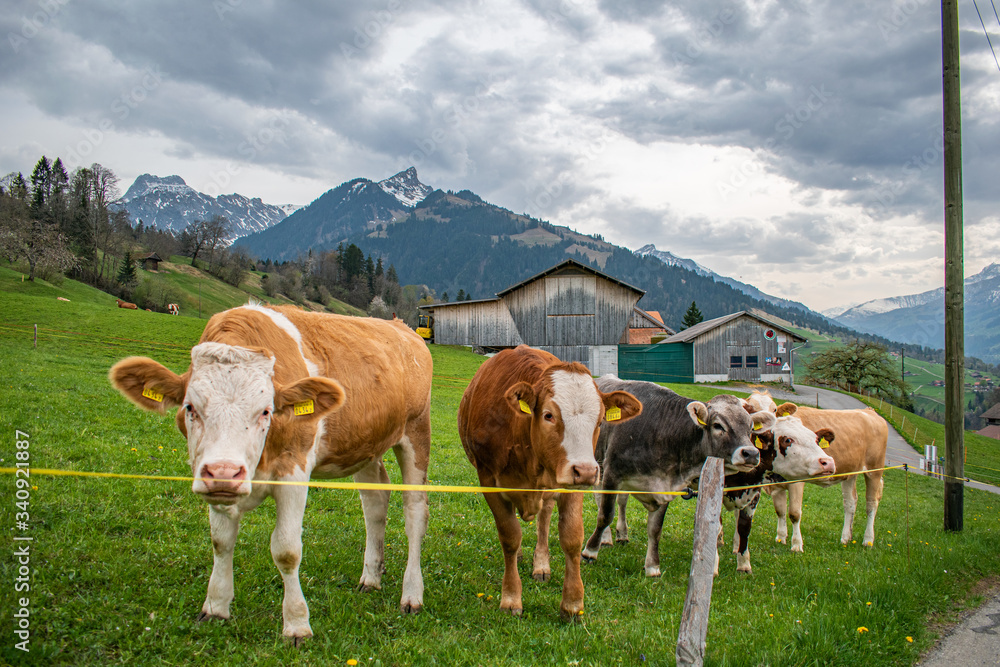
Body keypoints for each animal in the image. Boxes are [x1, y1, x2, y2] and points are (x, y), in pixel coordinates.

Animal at [108, 303, 432, 644]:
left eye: (266, 410)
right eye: (189, 408)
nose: (224, 472)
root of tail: (402, 328)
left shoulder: (294, 470)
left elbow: (286, 550)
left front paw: (297, 624)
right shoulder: (213, 481)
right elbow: (221, 541)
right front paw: (216, 606)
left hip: (416, 433)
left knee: (414, 512)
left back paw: (412, 594)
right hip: (366, 445)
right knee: (375, 504)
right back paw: (371, 577)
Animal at [457, 346, 642, 619]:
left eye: (600, 421)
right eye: (548, 415)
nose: (586, 471)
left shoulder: (571, 484)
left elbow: (572, 538)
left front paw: (573, 603)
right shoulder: (489, 480)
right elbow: (509, 536)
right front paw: (510, 597)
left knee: (544, 519)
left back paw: (541, 565)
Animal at [581, 377, 775, 577]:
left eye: (751, 428)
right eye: (718, 425)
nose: (751, 454)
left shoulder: (665, 485)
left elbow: (655, 529)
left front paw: (652, 566)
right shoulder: (612, 473)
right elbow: (605, 515)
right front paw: (590, 552)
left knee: (622, 502)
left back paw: (622, 534)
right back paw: (606, 539)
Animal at [766, 402, 888, 551]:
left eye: (774, 411)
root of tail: (869, 411)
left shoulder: (797, 481)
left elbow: (794, 513)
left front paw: (796, 545)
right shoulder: (774, 484)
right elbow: (780, 510)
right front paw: (781, 538)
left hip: (874, 470)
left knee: (871, 503)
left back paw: (868, 540)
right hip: (850, 472)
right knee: (850, 502)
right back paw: (846, 538)